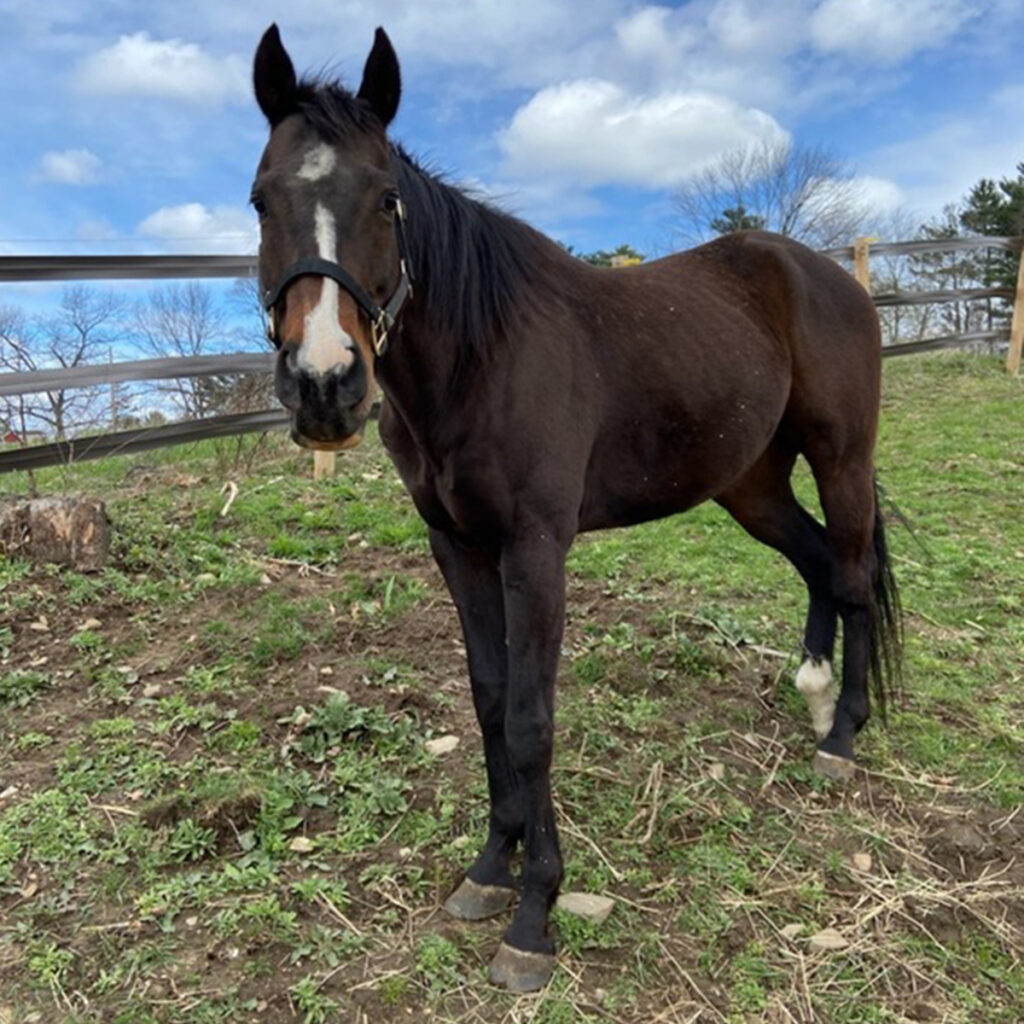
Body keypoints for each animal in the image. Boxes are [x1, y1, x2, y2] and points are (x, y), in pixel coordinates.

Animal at [251, 25, 901, 991]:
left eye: (386, 199)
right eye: (261, 200)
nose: (325, 384)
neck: (481, 356)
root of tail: (831, 277)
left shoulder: (534, 550)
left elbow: (531, 721)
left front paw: (534, 917)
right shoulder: (458, 549)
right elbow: (489, 700)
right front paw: (491, 868)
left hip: (840, 457)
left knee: (854, 575)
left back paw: (842, 739)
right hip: (750, 484)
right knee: (821, 564)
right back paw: (815, 696)